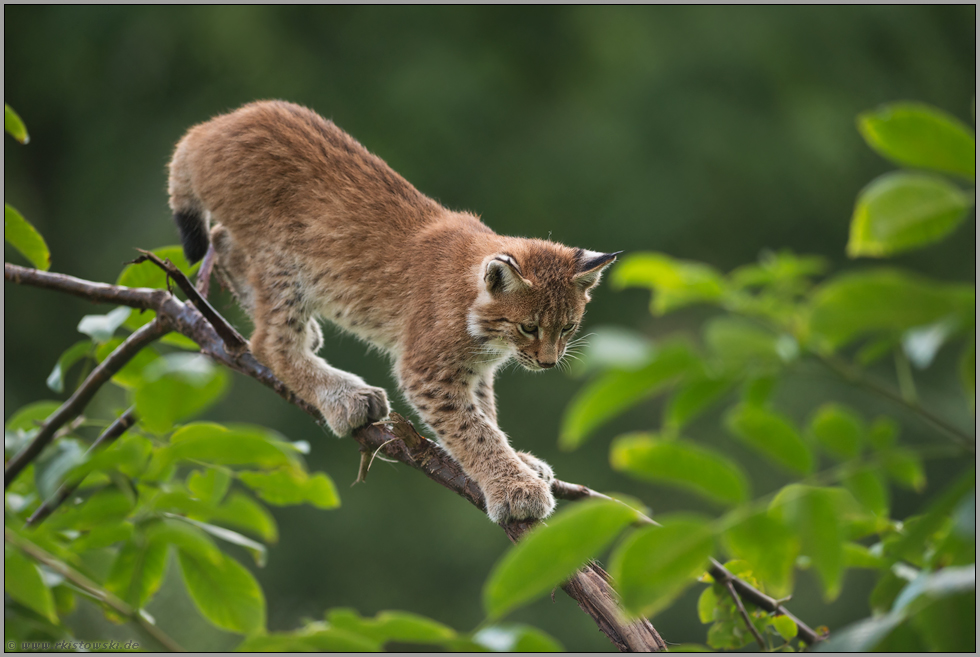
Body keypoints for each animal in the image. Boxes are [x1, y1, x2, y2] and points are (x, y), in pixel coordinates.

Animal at [167, 101, 612, 524]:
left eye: (568, 328)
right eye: (529, 327)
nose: (549, 362)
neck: (482, 321)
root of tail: (214, 125)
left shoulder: (475, 370)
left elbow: (487, 417)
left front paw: (519, 463)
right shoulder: (426, 370)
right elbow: (473, 429)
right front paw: (514, 488)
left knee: (222, 241)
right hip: (283, 261)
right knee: (268, 341)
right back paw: (345, 396)